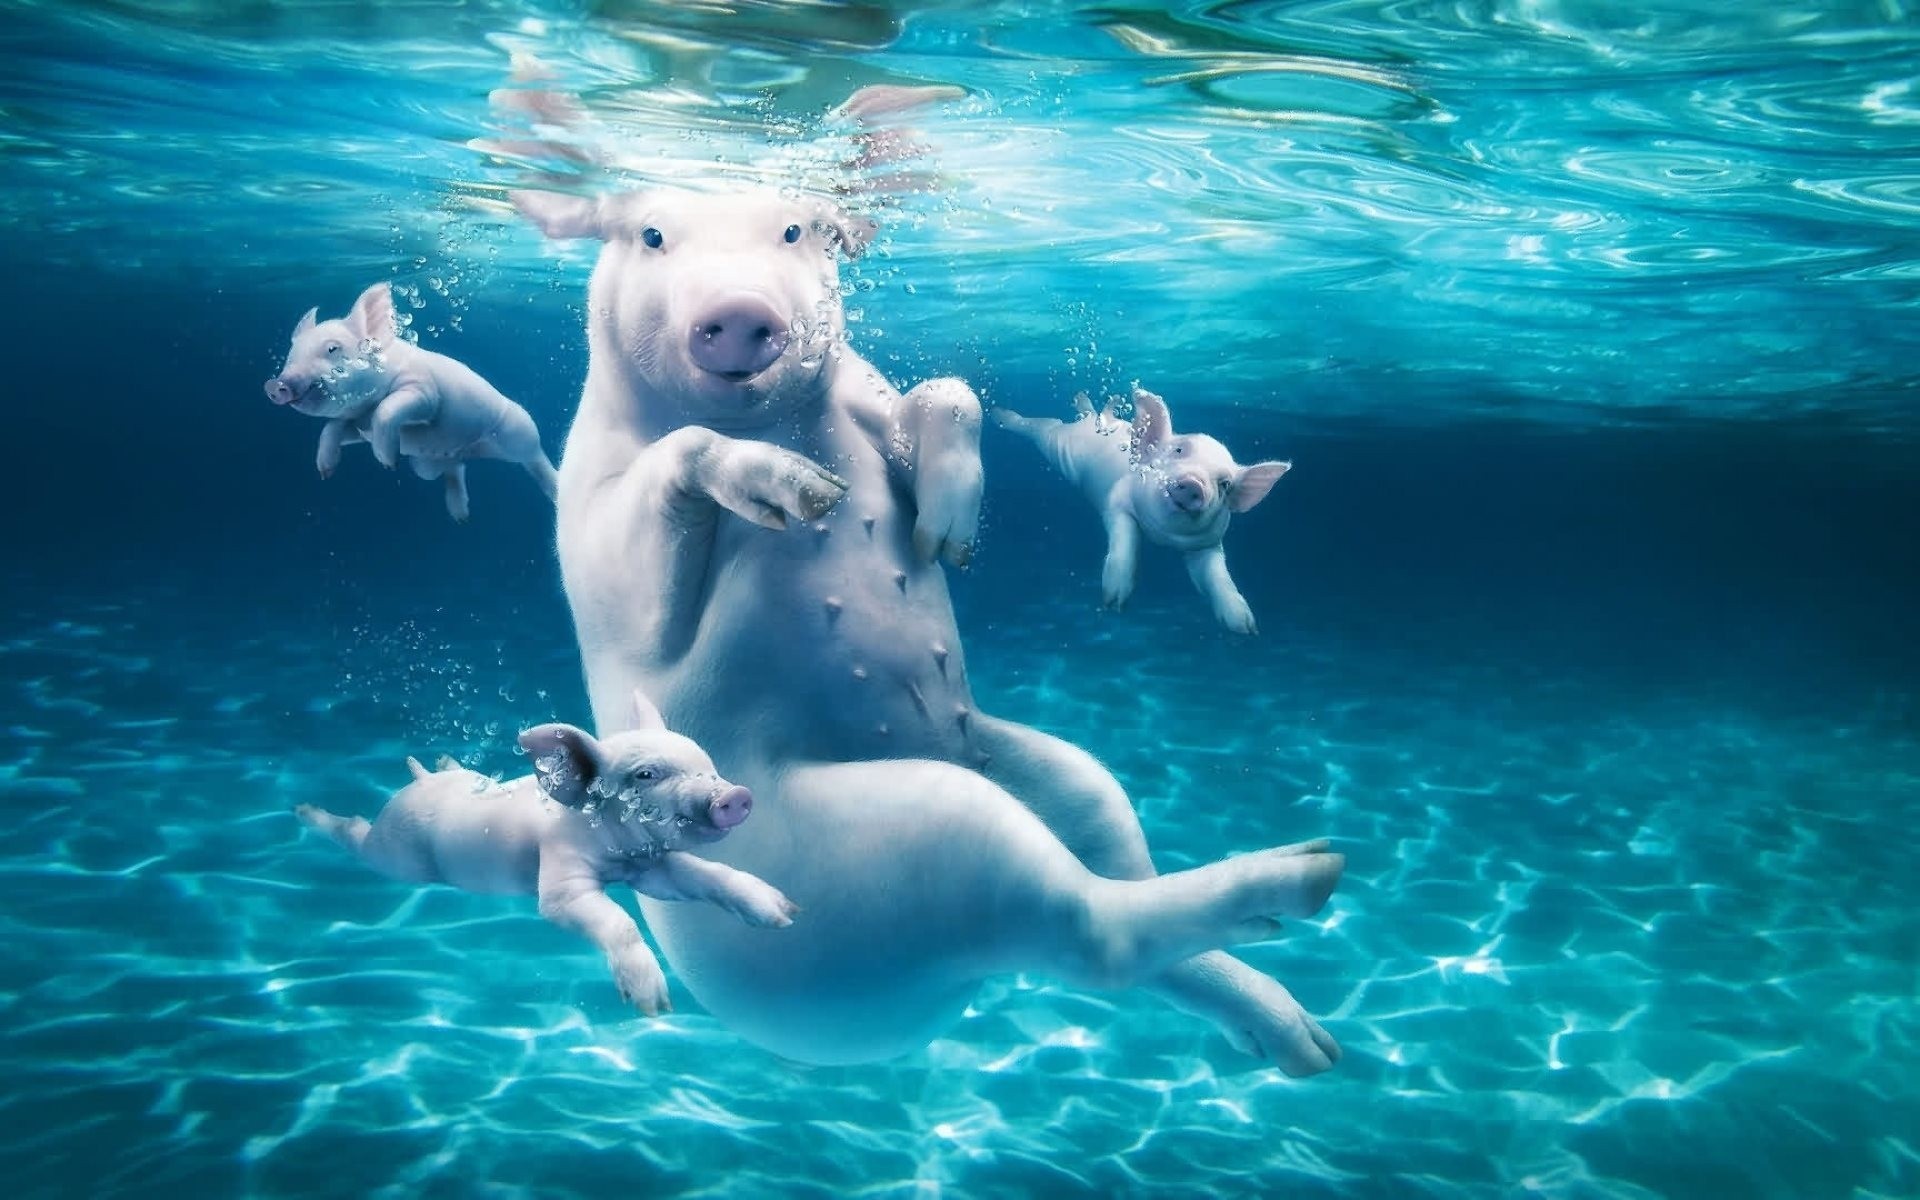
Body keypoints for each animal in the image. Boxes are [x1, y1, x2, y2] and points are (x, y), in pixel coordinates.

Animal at [263, 282, 560, 521]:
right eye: (291, 355)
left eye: (332, 348)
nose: (276, 384)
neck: (365, 409)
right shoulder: (358, 425)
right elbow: (331, 428)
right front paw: (325, 473)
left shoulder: (424, 391)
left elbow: (389, 408)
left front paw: (389, 463)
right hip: (425, 467)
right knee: (455, 468)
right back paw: (461, 517)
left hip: (520, 433)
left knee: (535, 459)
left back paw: (556, 492)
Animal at [293, 691, 790, 1015]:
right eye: (646, 775)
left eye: (709, 765)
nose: (736, 796)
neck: (618, 854)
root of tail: (415, 785)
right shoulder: (560, 877)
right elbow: (614, 919)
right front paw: (653, 1006)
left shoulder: (650, 868)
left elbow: (705, 876)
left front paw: (785, 914)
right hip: (395, 852)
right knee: (356, 834)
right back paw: (306, 810)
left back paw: (443, 762)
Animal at [995, 387, 1292, 635]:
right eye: (1178, 450)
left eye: (1225, 483)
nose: (1194, 483)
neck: (1161, 536)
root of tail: (1086, 421)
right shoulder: (1117, 503)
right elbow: (1126, 541)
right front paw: (1113, 603)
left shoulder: (1208, 543)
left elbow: (1217, 576)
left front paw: (1246, 628)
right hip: (1055, 443)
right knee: (1044, 425)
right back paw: (1001, 413)